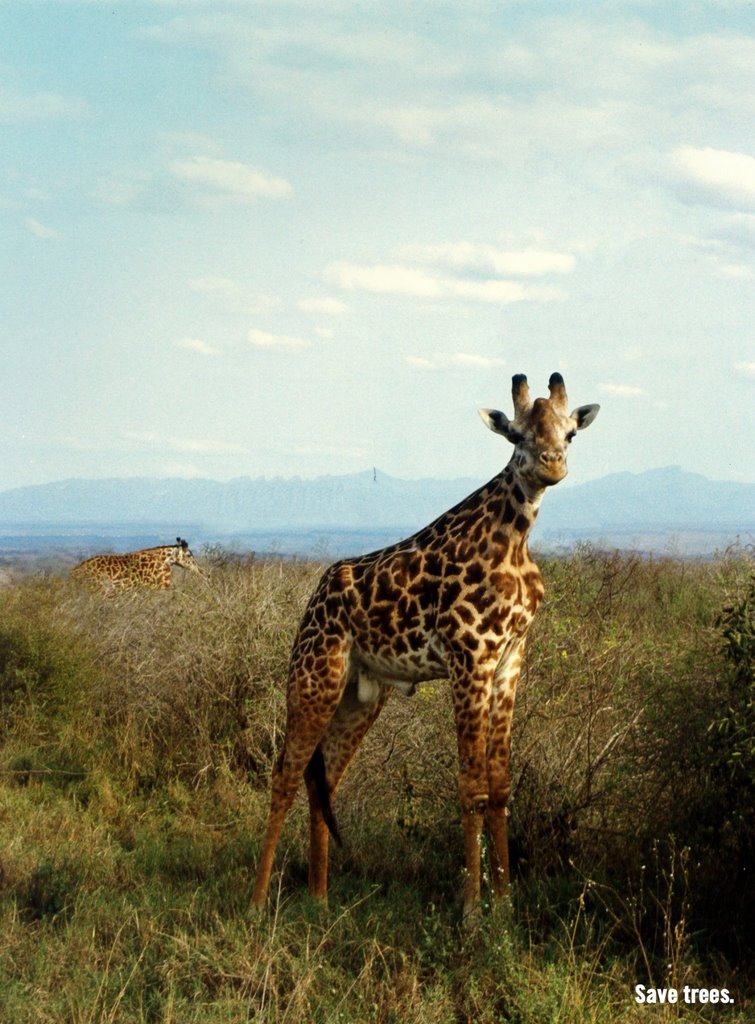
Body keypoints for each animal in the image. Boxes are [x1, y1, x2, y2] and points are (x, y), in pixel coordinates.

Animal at [252, 373, 599, 919]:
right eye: (516, 434)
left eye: (570, 435)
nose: (552, 466)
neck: (515, 540)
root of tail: (314, 598)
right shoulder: (469, 657)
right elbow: (471, 785)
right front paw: (472, 911)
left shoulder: (509, 659)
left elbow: (500, 784)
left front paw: (504, 906)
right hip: (314, 675)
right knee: (285, 773)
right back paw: (257, 901)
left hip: (361, 695)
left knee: (324, 779)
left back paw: (319, 898)